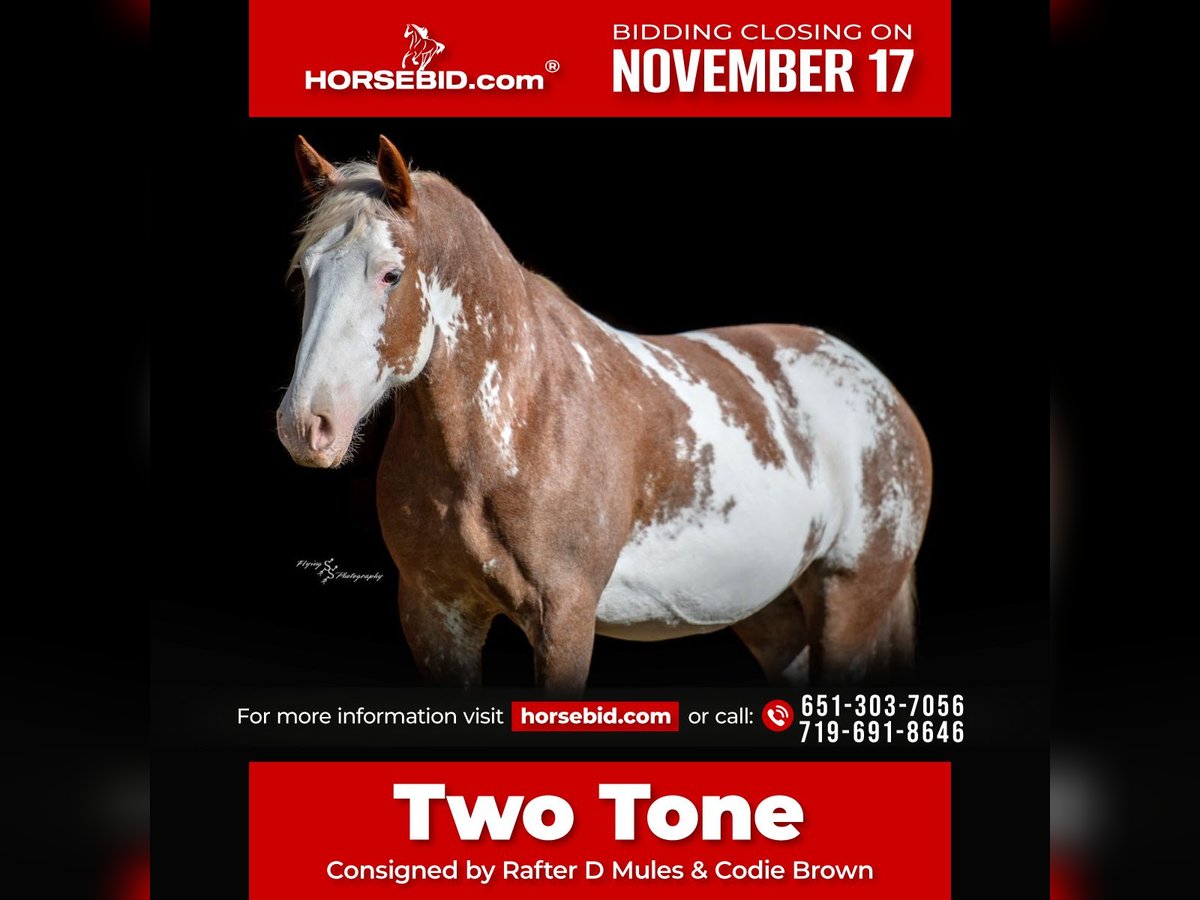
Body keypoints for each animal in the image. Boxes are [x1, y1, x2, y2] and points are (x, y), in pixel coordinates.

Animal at [277, 135, 933, 691]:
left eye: (391, 274)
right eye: (305, 273)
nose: (306, 426)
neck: (516, 422)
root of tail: (880, 391)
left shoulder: (565, 617)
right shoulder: (435, 616)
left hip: (849, 605)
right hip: (773, 616)